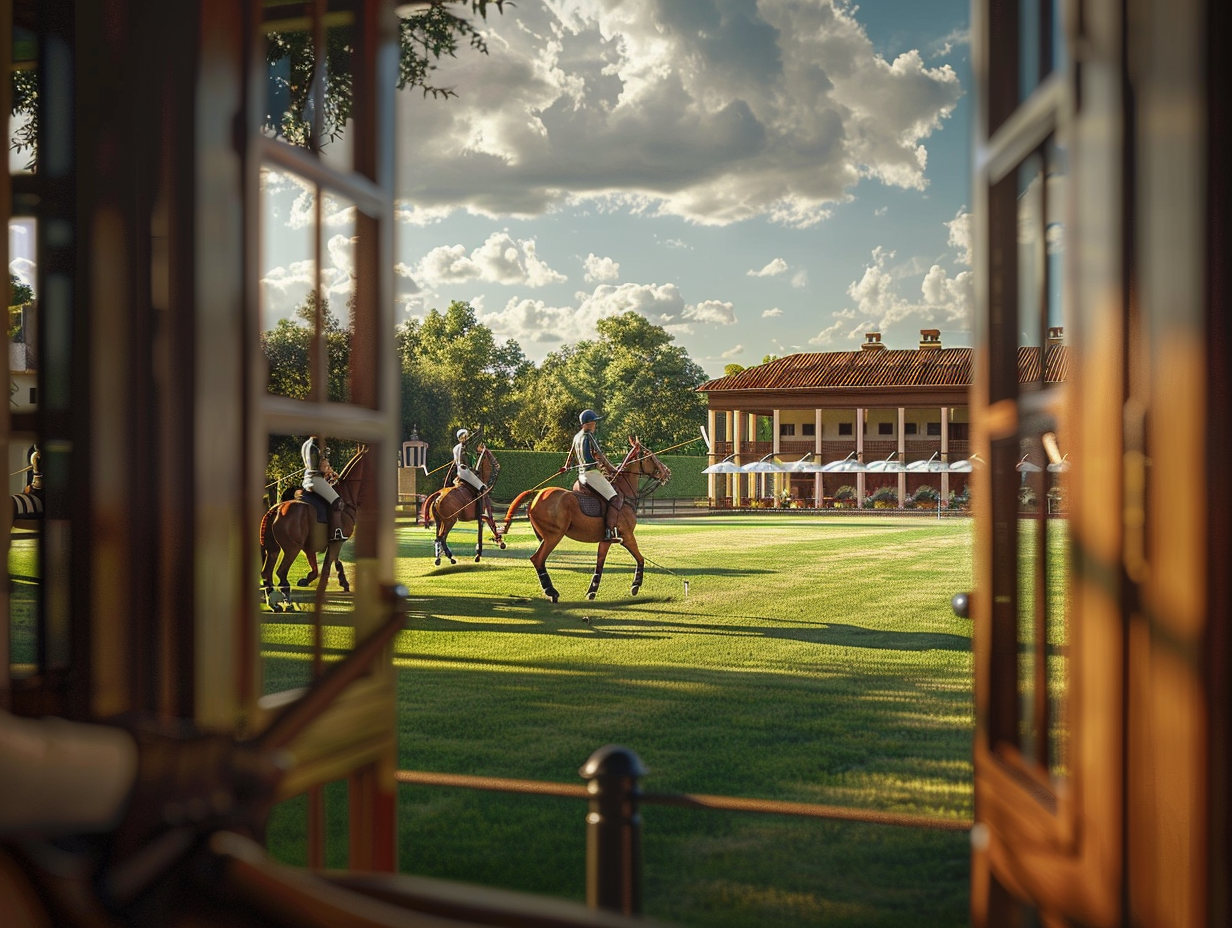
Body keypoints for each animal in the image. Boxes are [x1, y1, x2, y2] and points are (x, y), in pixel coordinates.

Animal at [258, 446, 364, 611]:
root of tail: (275, 509)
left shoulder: (315, 545)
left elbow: (324, 565)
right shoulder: (336, 540)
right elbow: (328, 563)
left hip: (273, 548)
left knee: (266, 573)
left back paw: (274, 604)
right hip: (292, 547)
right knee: (281, 573)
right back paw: (287, 602)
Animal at [497, 438, 675, 603]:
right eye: (649, 455)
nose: (667, 472)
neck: (625, 495)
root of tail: (537, 493)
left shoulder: (606, 540)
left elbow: (600, 564)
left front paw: (592, 591)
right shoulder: (627, 535)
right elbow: (640, 558)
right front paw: (635, 585)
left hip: (543, 536)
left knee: (539, 559)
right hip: (553, 535)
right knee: (537, 559)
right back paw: (551, 592)